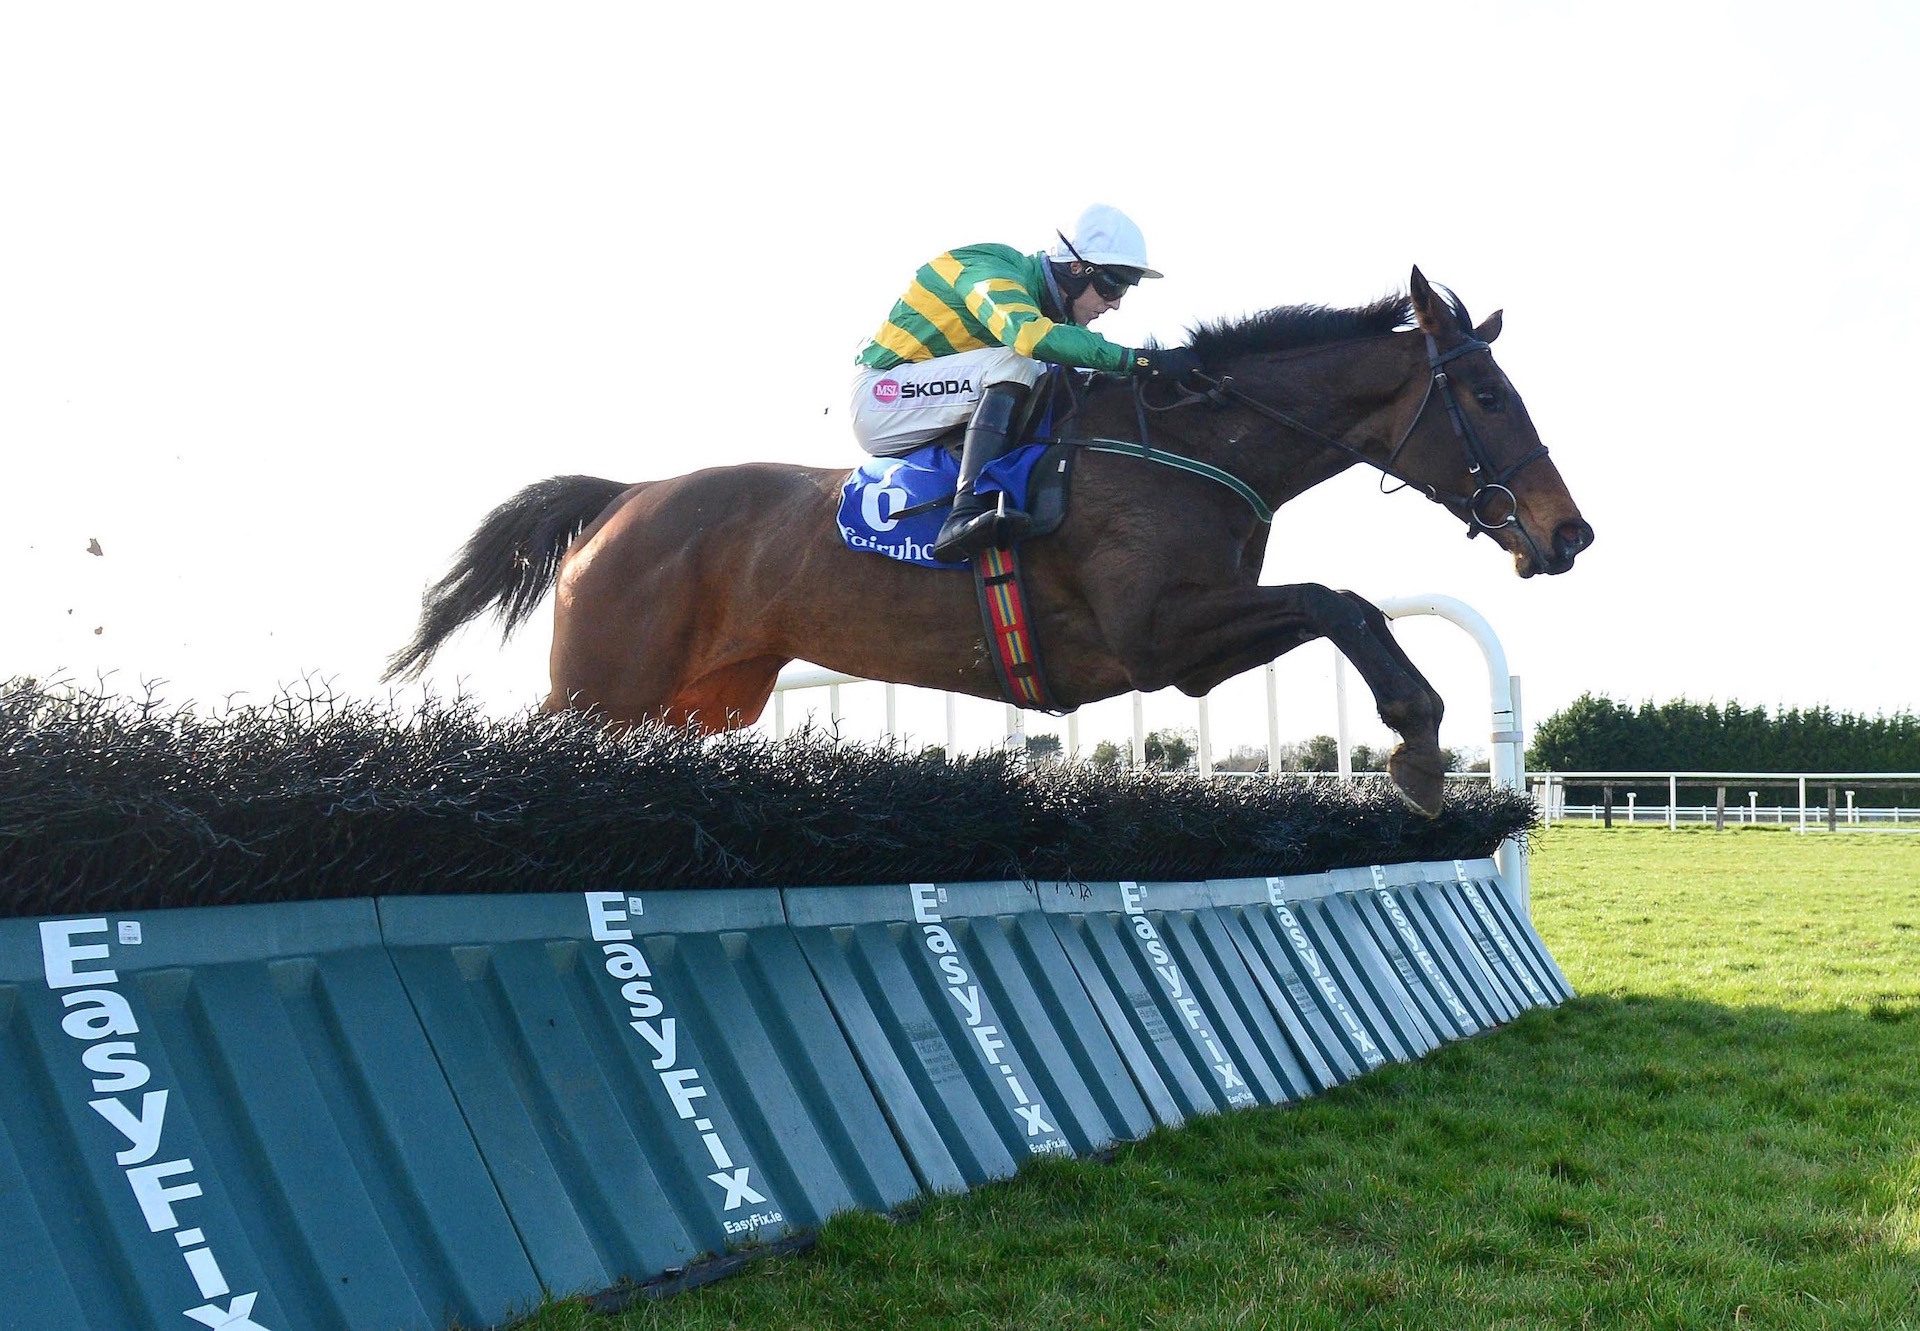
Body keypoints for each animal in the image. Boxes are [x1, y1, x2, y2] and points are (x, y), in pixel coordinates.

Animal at [385, 265, 1589, 814]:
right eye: (1486, 393)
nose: (1567, 531)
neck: (1186, 442)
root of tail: (627, 497)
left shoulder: (1186, 653)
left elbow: (1339, 602)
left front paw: (1419, 738)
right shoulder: (1156, 635)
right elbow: (1336, 598)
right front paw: (1419, 741)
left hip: (697, 702)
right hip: (601, 684)